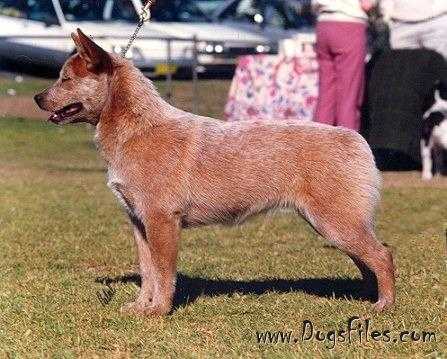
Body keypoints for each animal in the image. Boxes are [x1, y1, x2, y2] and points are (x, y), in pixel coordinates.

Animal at [34, 29, 396, 316]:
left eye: (65, 79)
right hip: (336, 227)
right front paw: (140, 308)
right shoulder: (139, 222)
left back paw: (385, 304)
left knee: (383, 255)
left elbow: (163, 273)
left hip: (336, 224)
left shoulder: (162, 221)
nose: (37, 97)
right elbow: (147, 272)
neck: (138, 129)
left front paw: (159, 311)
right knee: (368, 262)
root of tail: (355, 138)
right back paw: (367, 298)